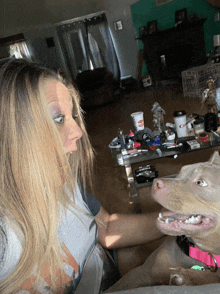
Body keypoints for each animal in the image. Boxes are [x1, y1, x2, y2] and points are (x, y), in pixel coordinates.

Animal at [106, 152, 220, 292]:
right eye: (180, 172)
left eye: (200, 182)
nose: (156, 183)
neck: (203, 254)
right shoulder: (143, 272)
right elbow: (117, 287)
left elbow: (212, 278)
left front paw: (187, 276)